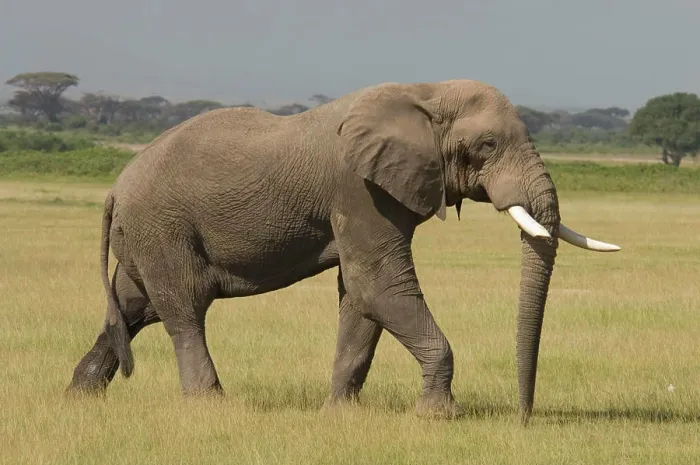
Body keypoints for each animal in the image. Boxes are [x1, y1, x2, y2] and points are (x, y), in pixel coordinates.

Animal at [66, 79, 620, 424]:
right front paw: (438, 417)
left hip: (146, 235)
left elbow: (360, 297)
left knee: (134, 306)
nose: (523, 418)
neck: (424, 92)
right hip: (164, 227)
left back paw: (80, 397)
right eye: (487, 145)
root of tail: (115, 188)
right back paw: (209, 406)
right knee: (183, 310)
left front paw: (338, 414)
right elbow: (379, 285)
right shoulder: (359, 189)